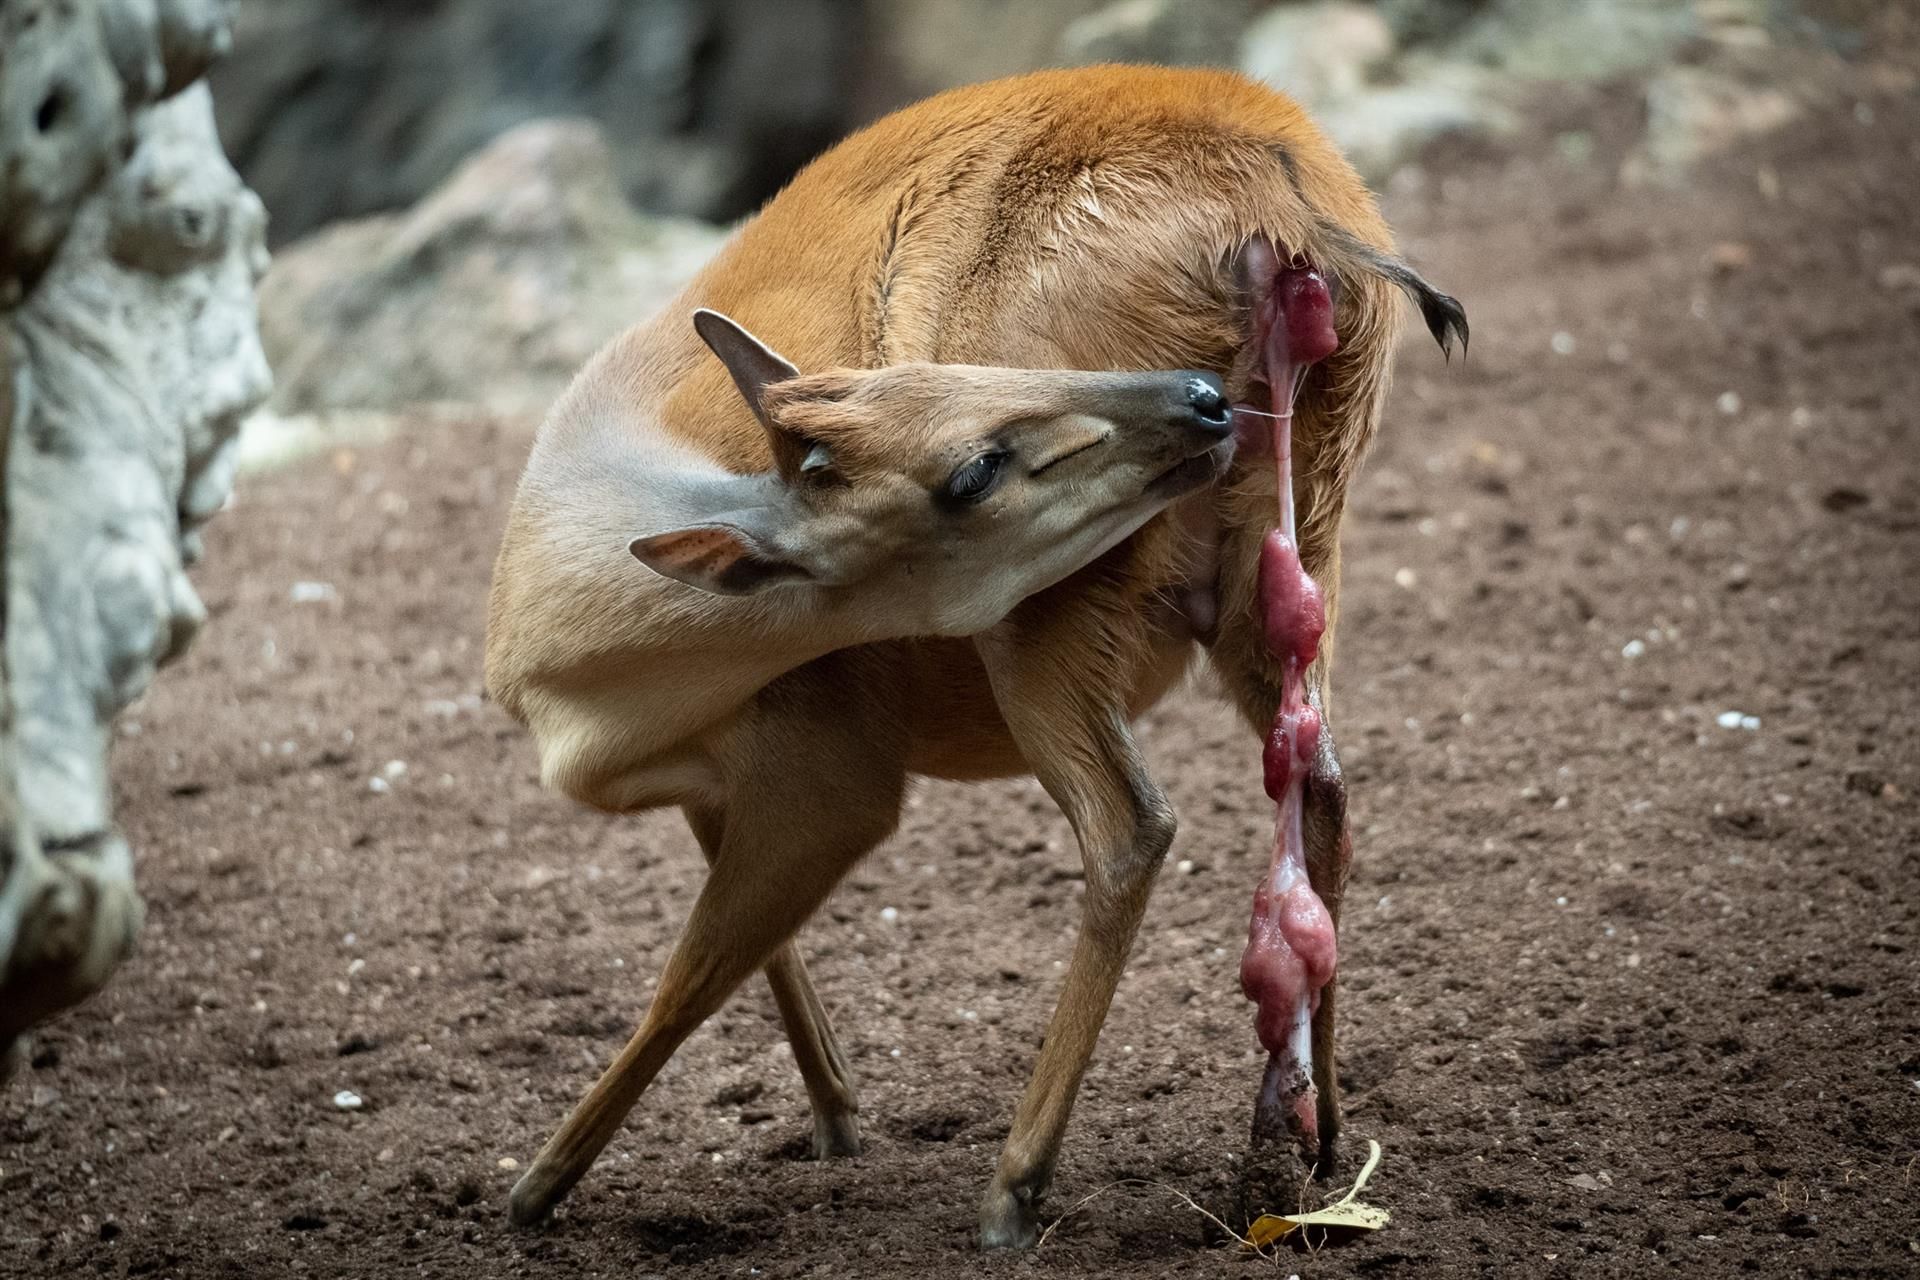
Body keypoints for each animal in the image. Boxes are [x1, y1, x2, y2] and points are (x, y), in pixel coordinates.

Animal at [485, 65, 1464, 1249]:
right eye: (973, 463)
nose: (1196, 399)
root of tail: (1289, 205)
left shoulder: (832, 770)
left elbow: (695, 970)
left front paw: (536, 1186)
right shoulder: (715, 779)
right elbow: (759, 948)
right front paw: (836, 1115)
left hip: (1051, 616)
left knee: (1132, 825)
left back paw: (1018, 1181)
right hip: (1289, 545)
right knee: (1317, 781)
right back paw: (1301, 1149)